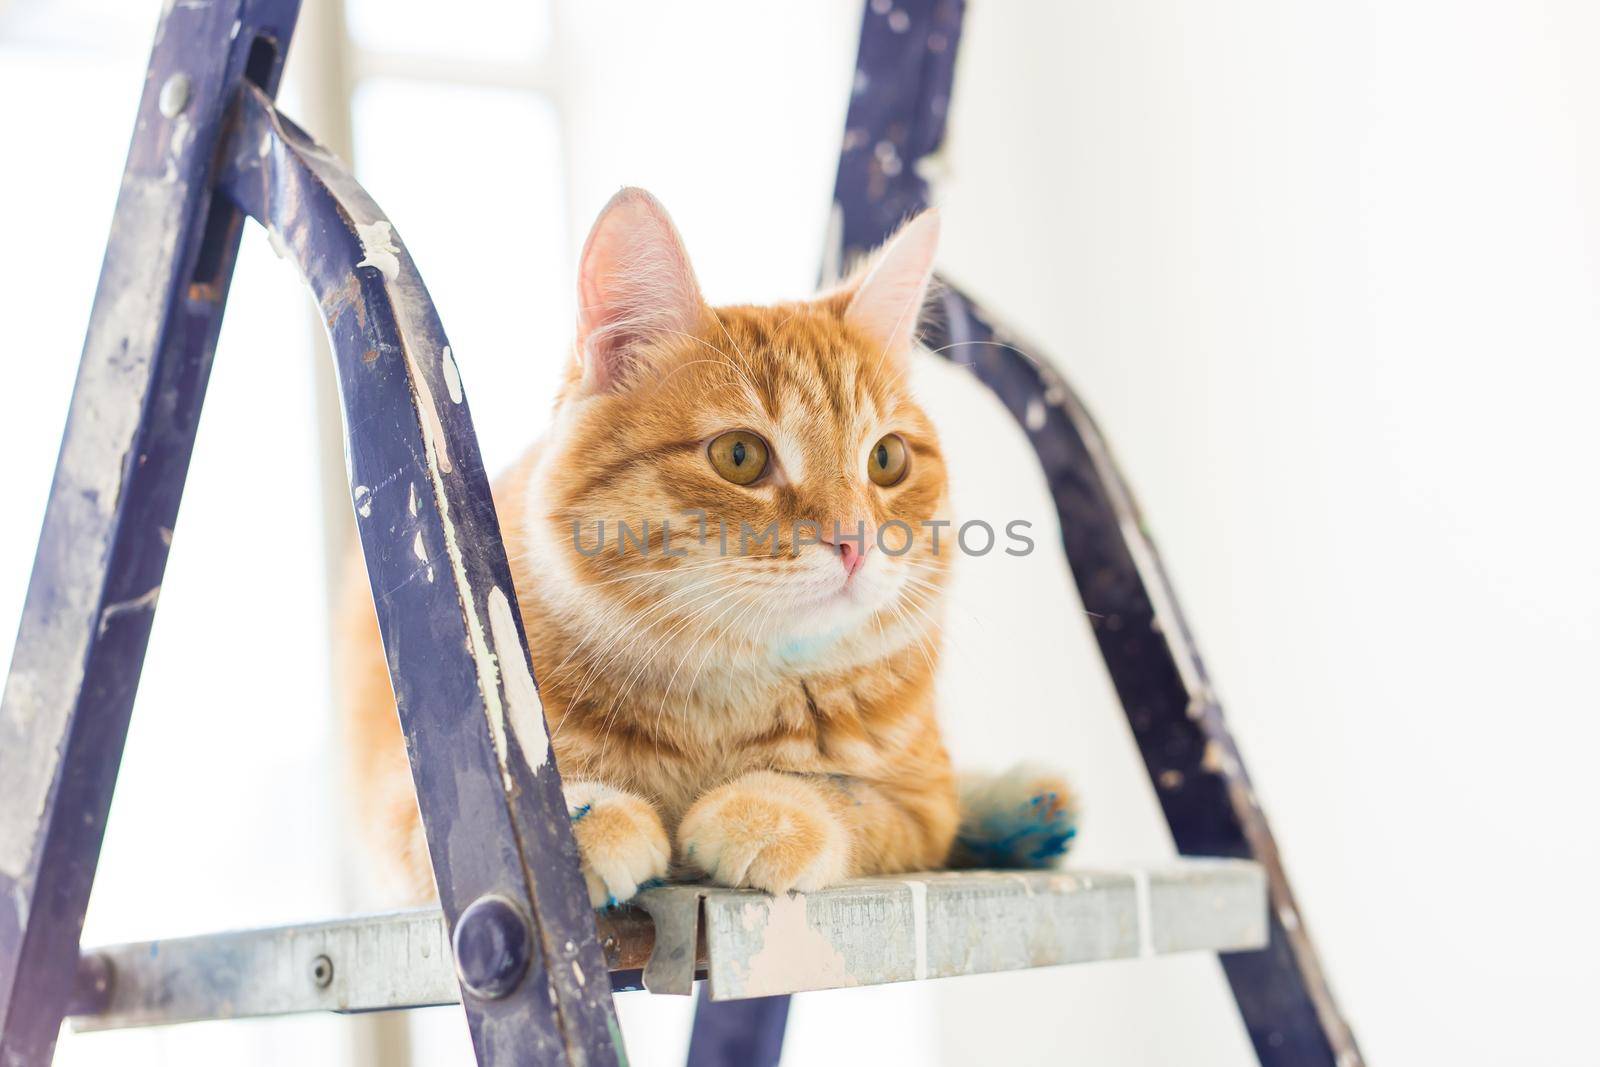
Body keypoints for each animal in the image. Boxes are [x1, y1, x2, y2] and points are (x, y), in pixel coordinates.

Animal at [347, 187, 1075, 908]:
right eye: (740, 456)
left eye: (887, 459)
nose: (854, 540)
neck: (726, 700)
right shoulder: (414, 813)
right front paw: (585, 820)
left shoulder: (923, 805)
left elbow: (849, 796)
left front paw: (771, 810)